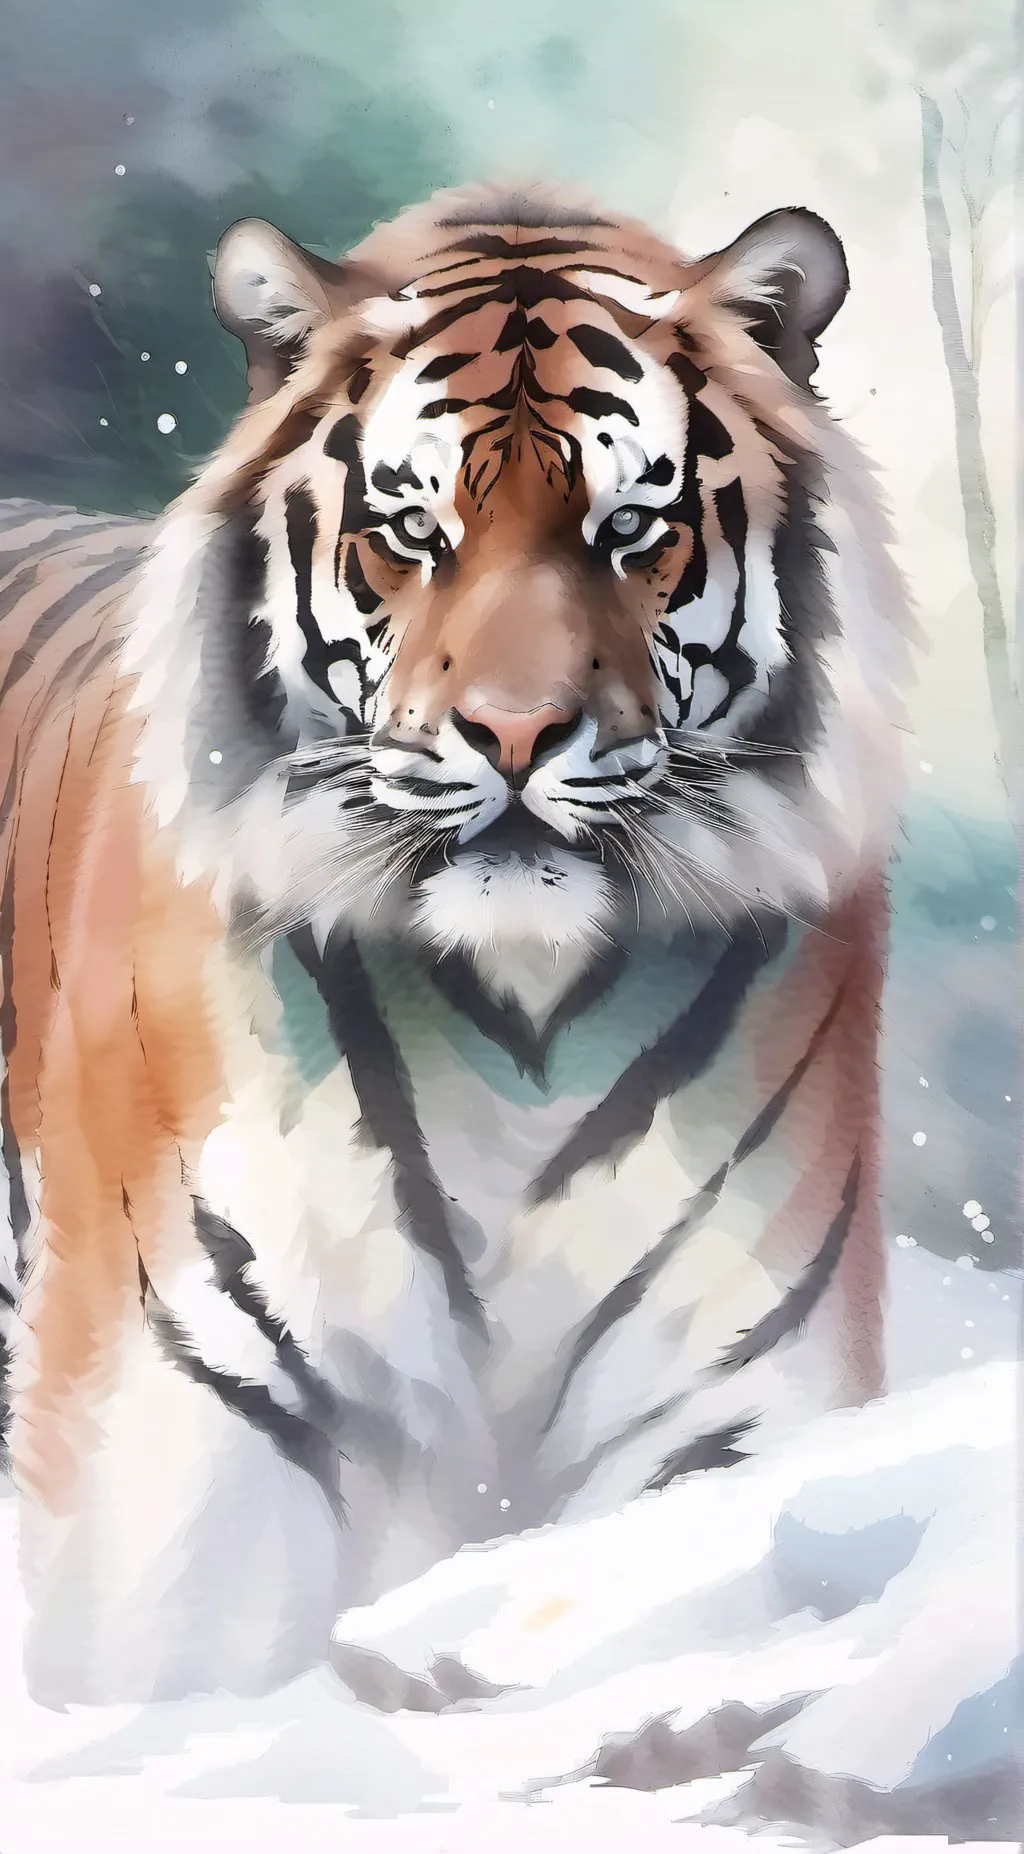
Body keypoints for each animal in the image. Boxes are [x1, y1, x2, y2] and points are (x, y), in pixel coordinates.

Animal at [0, 182, 915, 1706]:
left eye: (631, 529)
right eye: (411, 533)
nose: (517, 732)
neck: (522, 1013)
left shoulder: (730, 1389)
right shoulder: (186, 1431)